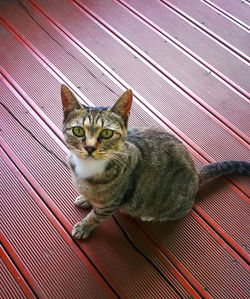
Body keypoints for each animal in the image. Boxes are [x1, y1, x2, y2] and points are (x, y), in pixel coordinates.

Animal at [61, 85, 250, 240]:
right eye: (78, 131)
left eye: (107, 133)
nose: (90, 148)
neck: (88, 168)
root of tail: (195, 174)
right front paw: (86, 198)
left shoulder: (114, 202)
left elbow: (96, 215)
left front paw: (84, 226)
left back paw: (150, 215)